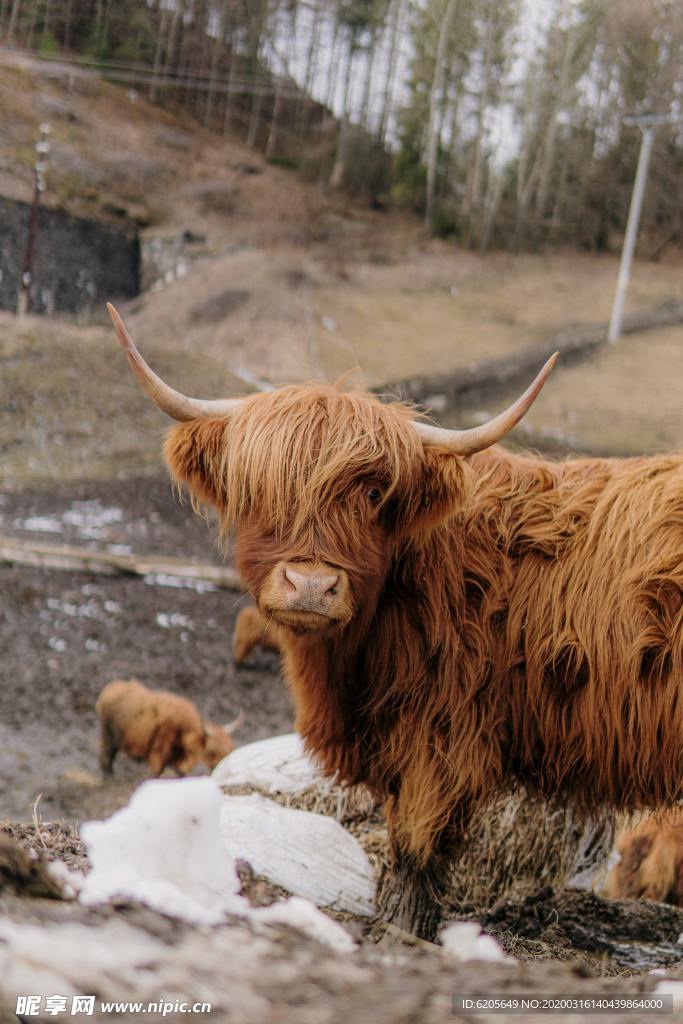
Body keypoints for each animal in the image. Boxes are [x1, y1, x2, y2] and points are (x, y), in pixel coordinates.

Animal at [97, 679, 241, 774]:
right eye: (212, 751)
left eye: (227, 752)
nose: (218, 768)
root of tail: (110, 688)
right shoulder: (157, 756)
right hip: (108, 737)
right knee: (106, 758)